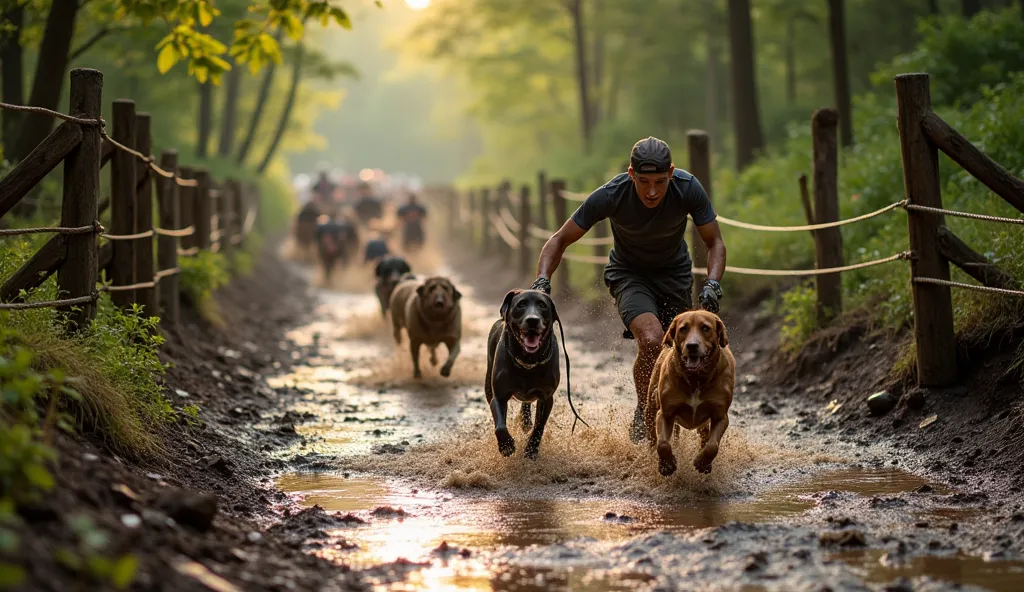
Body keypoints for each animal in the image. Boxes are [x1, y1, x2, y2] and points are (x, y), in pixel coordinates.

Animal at [485, 288, 561, 458]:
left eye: (542, 305)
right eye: (521, 304)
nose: (532, 320)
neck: (528, 361)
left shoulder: (546, 397)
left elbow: (539, 427)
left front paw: (531, 450)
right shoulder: (499, 396)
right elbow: (500, 426)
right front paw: (506, 446)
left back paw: (526, 422)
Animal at [638, 309, 737, 475]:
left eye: (705, 328)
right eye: (683, 329)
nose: (692, 346)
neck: (696, 380)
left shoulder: (720, 415)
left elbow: (712, 446)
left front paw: (703, 463)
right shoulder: (665, 413)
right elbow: (663, 444)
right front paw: (666, 465)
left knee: (705, 435)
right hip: (650, 407)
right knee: (652, 436)